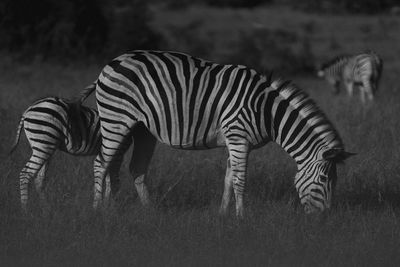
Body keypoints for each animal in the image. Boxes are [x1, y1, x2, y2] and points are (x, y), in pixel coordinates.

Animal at [9, 91, 153, 213]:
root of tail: (28, 110)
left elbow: (107, 179)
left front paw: (106, 206)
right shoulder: (118, 152)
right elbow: (113, 181)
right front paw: (111, 207)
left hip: (45, 146)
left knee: (39, 179)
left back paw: (46, 208)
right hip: (43, 141)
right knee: (25, 174)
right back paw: (25, 210)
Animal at [84, 50, 354, 218]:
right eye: (324, 180)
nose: (323, 219)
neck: (266, 110)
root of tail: (111, 63)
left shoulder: (235, 141)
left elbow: (228, 178)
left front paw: (223, 215)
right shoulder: (238, 137)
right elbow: (240, 180)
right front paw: (242, 218)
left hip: (138, 128)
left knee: (127, 167)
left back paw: (132, 209)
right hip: (116, 119)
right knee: (101, 163)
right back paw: (98, 210)